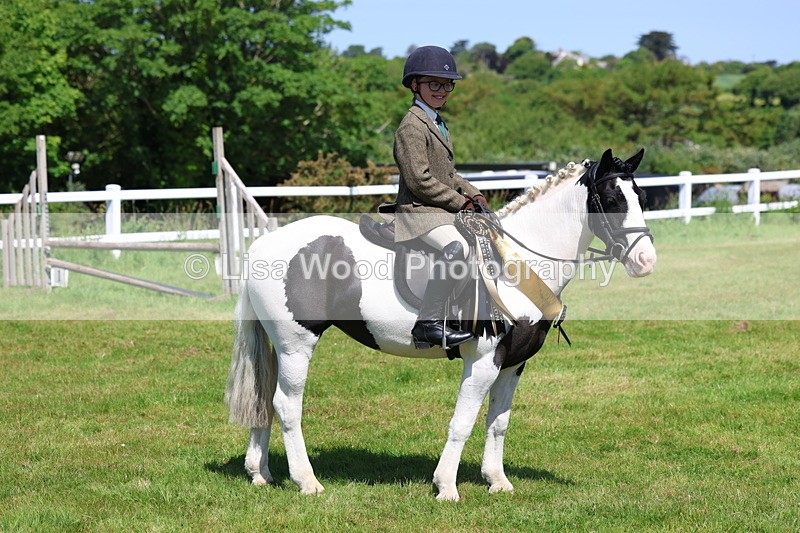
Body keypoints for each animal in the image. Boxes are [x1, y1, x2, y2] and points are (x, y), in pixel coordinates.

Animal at [224, 148, 657, 501]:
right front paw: (446, 486)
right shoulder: (482, 362)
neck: (518, 262)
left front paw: (497, 481)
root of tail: (263, 245)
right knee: (286, 405)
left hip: (279, 346)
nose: (646, 262)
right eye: (612, 201)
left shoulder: (513, 364)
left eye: (642, 198)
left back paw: (260, 473)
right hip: (297, 344)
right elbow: (462, 423)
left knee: (264, 398)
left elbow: (498, 423)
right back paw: (307, 481)